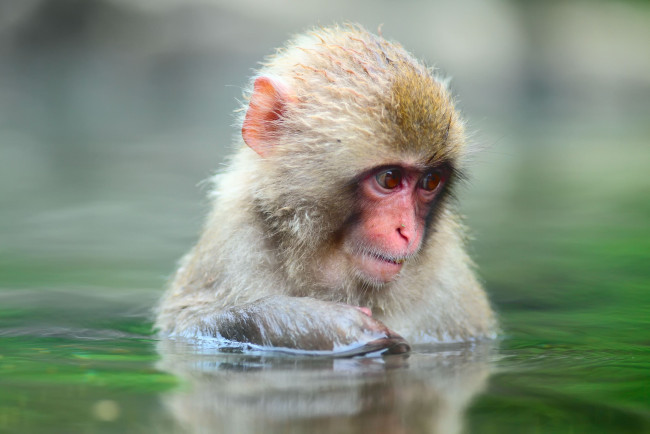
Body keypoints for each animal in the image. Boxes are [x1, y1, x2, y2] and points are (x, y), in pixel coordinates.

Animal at [155, 24, 497, 356]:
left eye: (430, 182)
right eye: (389, 179)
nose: (407, 232)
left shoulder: (451, 288)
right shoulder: (230, 244)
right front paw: (322, 322)